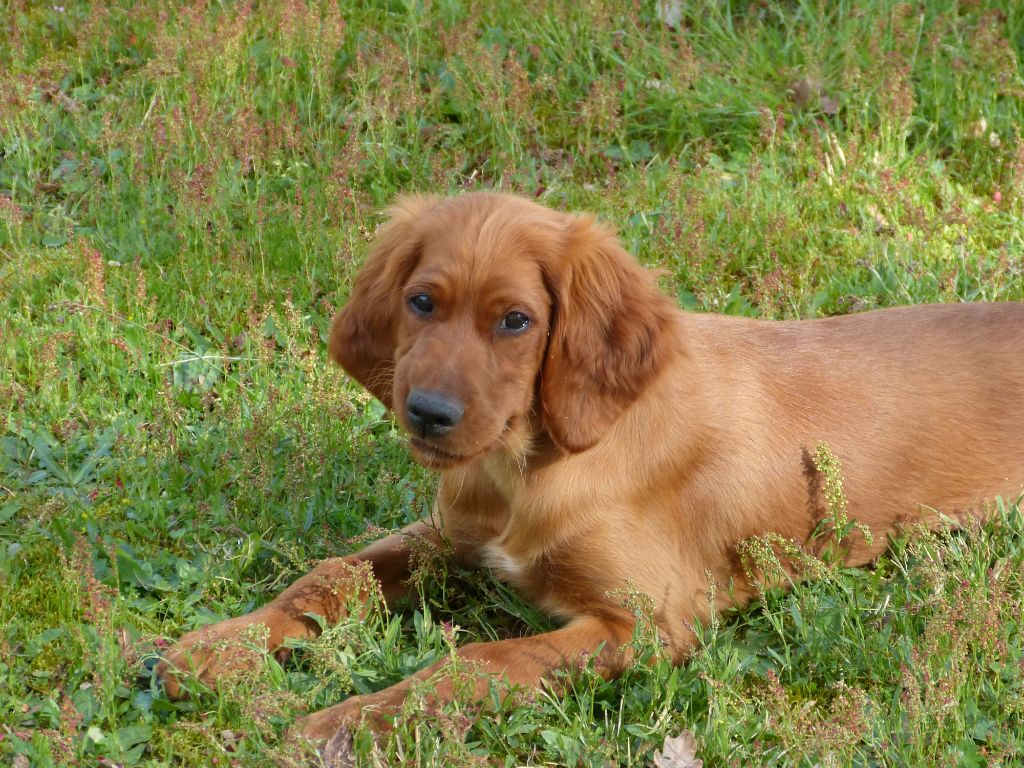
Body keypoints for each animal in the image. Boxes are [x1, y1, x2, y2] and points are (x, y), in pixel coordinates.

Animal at [155, 191, 1024, 745]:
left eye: (516, 321)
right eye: (421, 302)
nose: (428, 413)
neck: (528, 466)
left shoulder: (644, 620)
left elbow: (481, 662)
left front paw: (346, 723)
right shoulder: (450, 535)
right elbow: (330, 575)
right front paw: (218, 648)